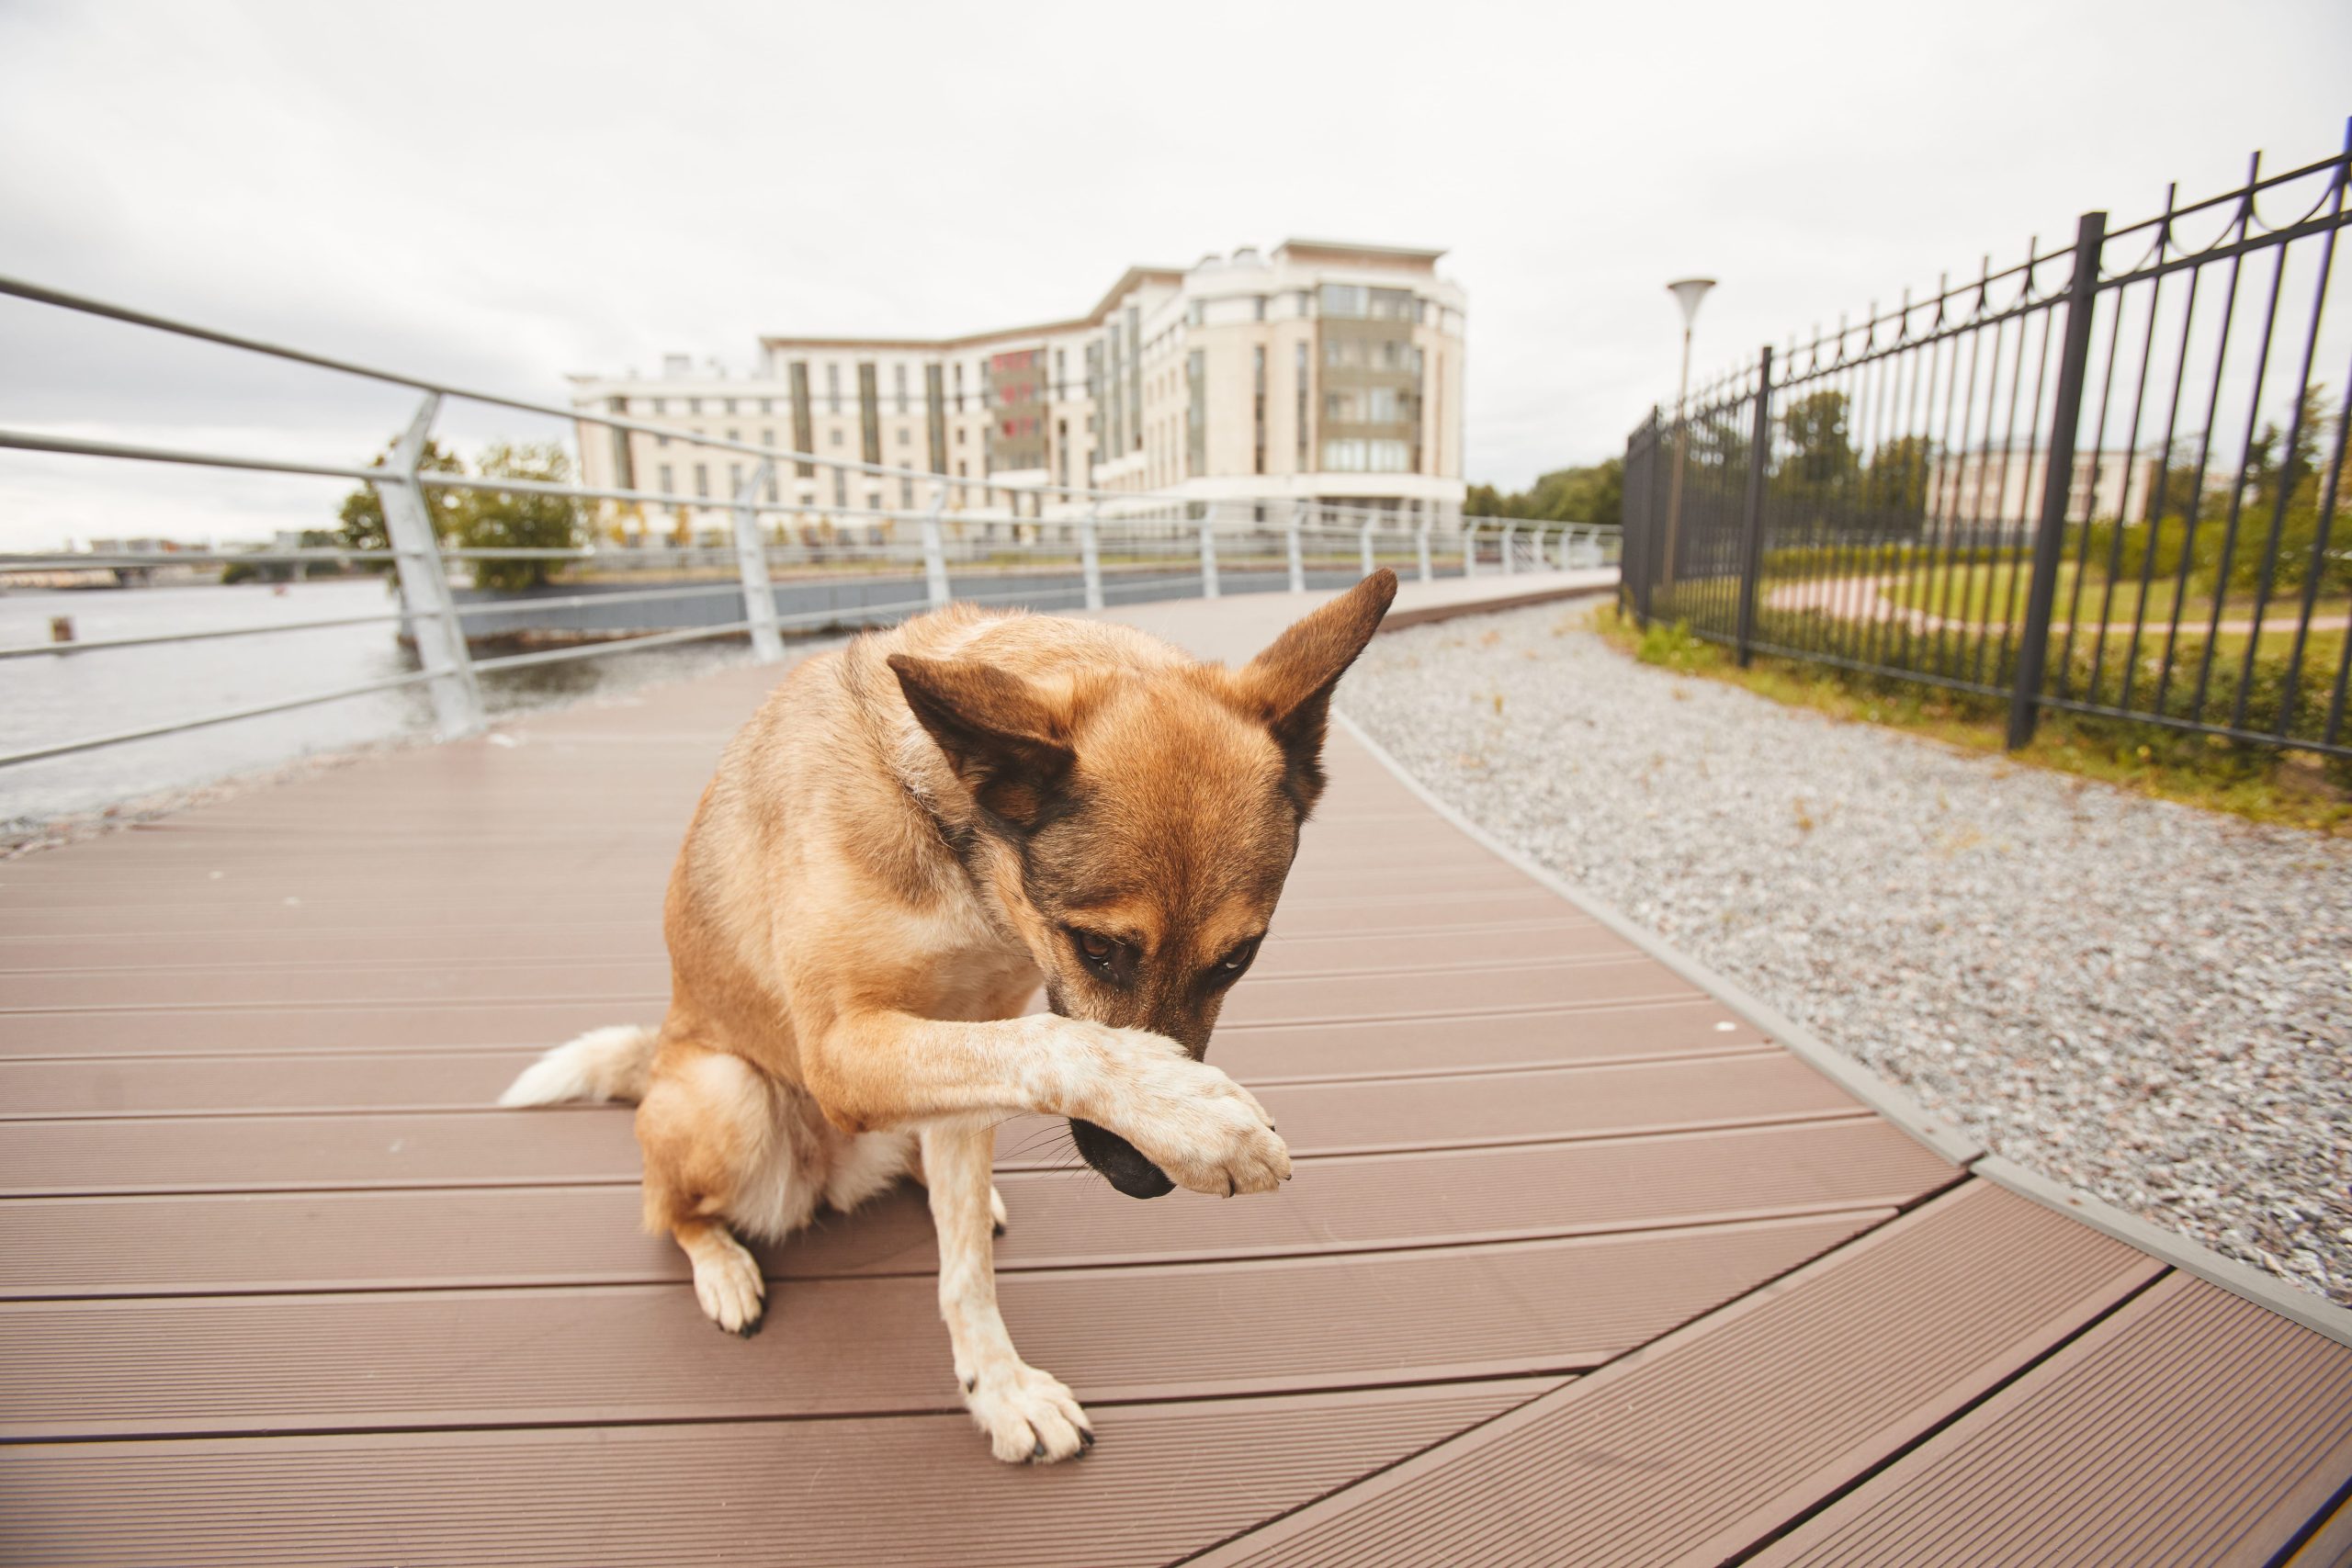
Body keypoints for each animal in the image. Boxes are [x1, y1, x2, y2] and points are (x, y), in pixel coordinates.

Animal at [501, 570, 1392, 1466]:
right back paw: (719, 1262)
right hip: (729, 1096)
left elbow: (967, 1262)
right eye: (1097, 947)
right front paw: (1195, 1119)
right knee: (669, 1210)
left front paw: (997, 1388)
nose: (1139, 1179)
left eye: (1238, 959)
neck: (960, 854)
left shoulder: (968, 1035)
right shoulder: (840, 1050)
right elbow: (1061, 1041)